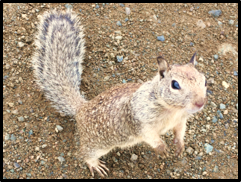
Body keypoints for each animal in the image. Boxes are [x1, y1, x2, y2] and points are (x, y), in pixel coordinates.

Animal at [31, 9, 207, 176]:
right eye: (175, 84)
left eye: (204, 80)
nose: (200, 103)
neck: (174, 110)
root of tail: (81, 108)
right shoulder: (140, 121)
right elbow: (150, 136)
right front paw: (162, 148)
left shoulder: (181, 120)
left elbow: (180, 132)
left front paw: (179, 145)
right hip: (96, 145)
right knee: (85, 153)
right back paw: (95, 164)